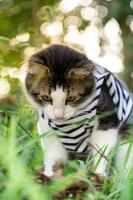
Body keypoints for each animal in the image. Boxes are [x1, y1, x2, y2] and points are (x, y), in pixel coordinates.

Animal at [25, 44, 133, 177]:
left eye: (71, 98)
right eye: (46, 97)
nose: (59, 116)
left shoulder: (107, 121)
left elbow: (101, 152)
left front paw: (99, 175)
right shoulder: (47, 127)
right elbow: (53, 154)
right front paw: (50, 174)